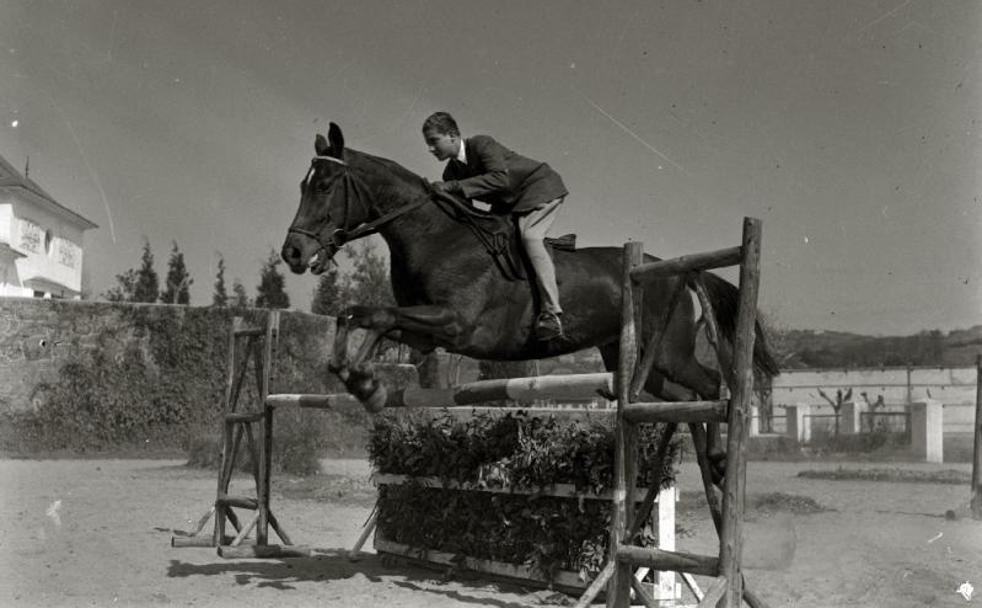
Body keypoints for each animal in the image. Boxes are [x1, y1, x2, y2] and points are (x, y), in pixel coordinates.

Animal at [278, 124, 776, 418]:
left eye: (325, 186)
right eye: (302, 184)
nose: (293, 254)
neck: (434, 236)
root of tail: (674, 271)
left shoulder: (456, 324)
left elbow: (376, 315)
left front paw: (366, 382)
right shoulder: (425, 331)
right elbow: (358, 315)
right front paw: (363, 382)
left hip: (670, 352)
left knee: (710, 383)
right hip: (632, 361)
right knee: (673, 397)